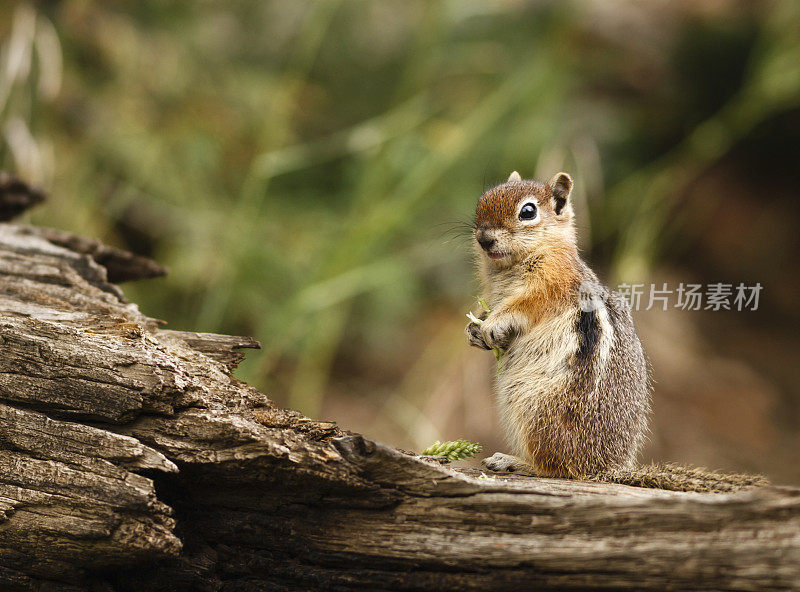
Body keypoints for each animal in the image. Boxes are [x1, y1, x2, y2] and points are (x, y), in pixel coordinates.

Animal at [468, 169, 648, 478]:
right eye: (482, 201)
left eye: (528, 212)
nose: (484, 238)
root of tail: (604, 468)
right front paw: (474, 330)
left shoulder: (549, 288)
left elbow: (522, 307)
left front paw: (492, 325)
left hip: (533, 409)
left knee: (556, 467)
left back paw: (512, 461)